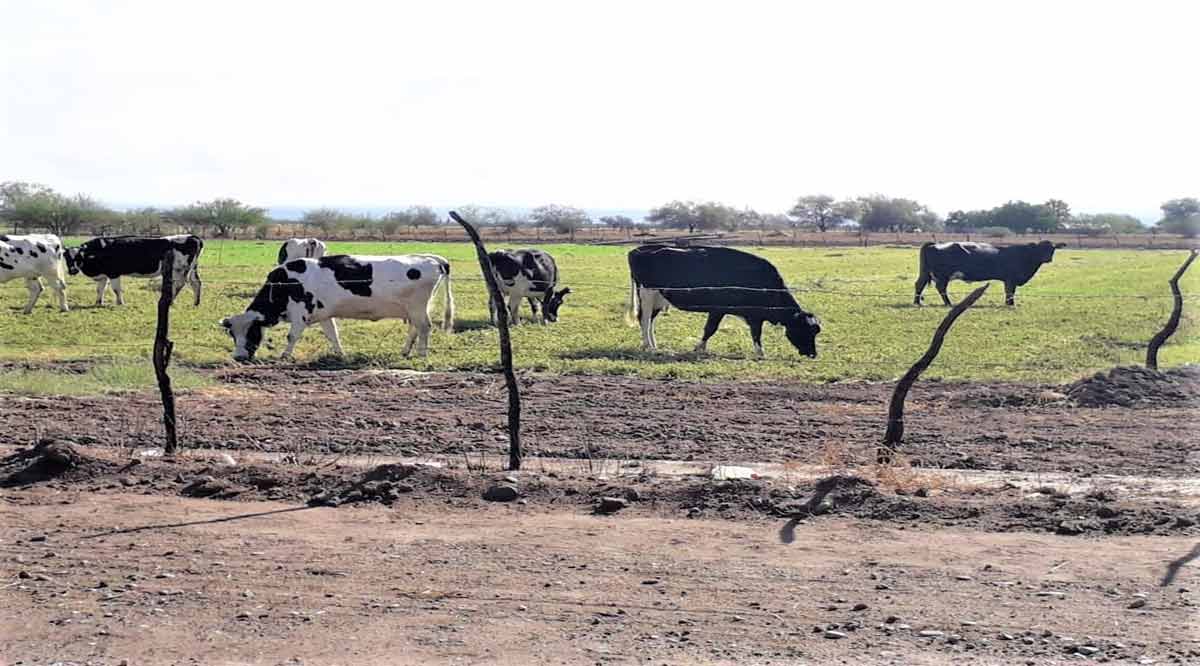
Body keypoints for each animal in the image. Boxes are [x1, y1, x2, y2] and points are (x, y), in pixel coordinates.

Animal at [63, 234, 204, 307]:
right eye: (66, 257)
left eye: (78, 257)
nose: (72, 271)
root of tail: (193, 236)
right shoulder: (104, 275)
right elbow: (100, 289)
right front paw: (98, 303)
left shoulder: (114, 273)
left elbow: (116, 289)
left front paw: (120, 303)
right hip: (192, 268)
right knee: (196, 282)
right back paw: (196, 303)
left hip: (180, 269)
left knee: (180, 283)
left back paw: (171, 301)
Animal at [222, 253, 453, 362]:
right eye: (233, 335)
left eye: (251, 333)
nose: (238, 357)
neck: (285, 282)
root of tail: (432, 258)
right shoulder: (324, 314)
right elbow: (333, 335)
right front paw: (340, 354)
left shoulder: (301, 313)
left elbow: (292, 336)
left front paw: (285, 356)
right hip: (414, 309)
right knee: (415, 328)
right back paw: (405, 351)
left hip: (418, 308)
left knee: (424, 328)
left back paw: (421, 354)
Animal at [628, 244, 816, 360]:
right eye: (805, 330)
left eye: (816, 332)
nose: (813, 354)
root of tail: (637, 250)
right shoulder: (718, 309)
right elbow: (710, 329)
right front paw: (699, 348)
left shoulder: (754, 315)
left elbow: (755, 334)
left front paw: (760, 353)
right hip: (647, 294)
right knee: (644, 320)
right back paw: (648, 346)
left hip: (658, 299)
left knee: (650, 321)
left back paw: (653, 346)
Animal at [912, 241, 1065, 309]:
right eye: (1040, 249)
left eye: (1052, 249)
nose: (1048, 258)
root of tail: (933, 244)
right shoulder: (1010, 279)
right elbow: (1010, 292)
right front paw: (1010, 304)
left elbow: (1009, 292)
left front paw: (1009, 303)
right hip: (943, 275)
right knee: (941, 288)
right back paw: (949, 303)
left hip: (926, 273)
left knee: (919, 284)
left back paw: (917, 302)